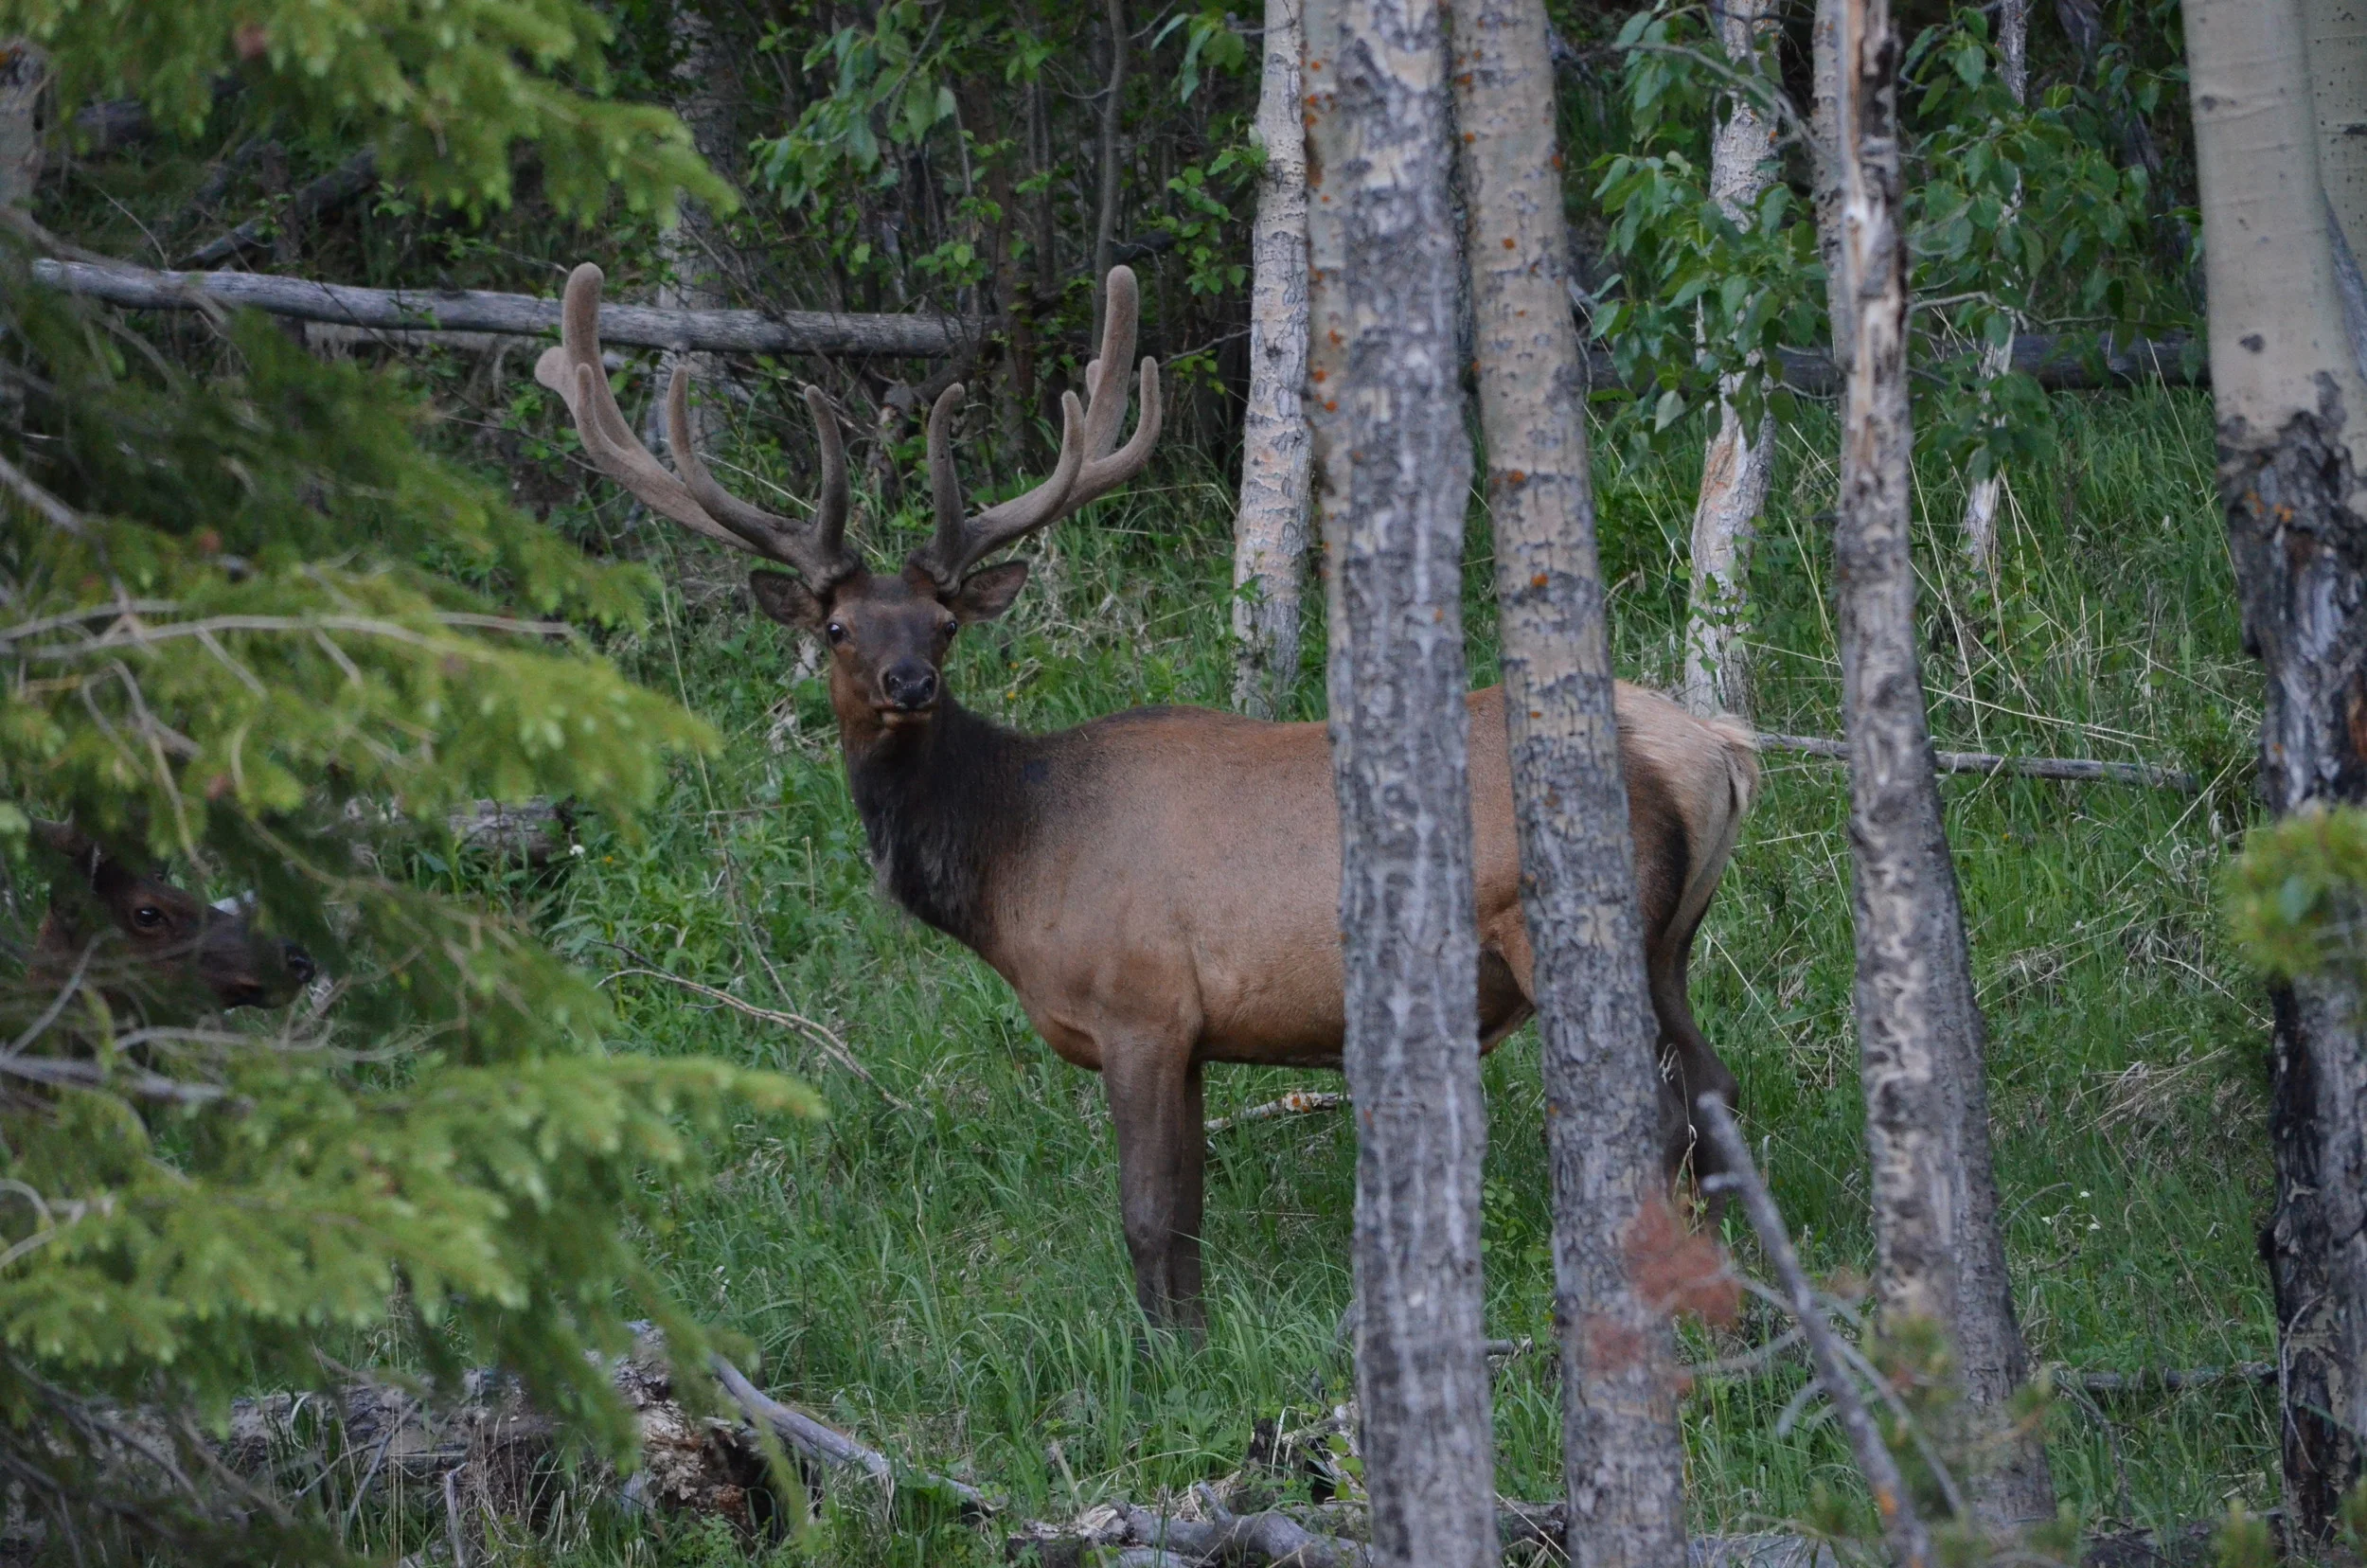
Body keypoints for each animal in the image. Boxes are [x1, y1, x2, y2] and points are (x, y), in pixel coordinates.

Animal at [536, 262, 1760, 1331]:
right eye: (839, 628)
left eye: (941, 623)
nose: (908, 683)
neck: (1011, 861)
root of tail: (1713, 748)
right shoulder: (1197, 1035)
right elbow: (1193, 1213)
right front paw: (1193, 1335)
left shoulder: (1141, 1004)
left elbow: (1150, 1214)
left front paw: (1169, 1350)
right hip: (1673, 942)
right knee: (1714, 1093)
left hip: (1577, 928)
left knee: (1662, 1114)